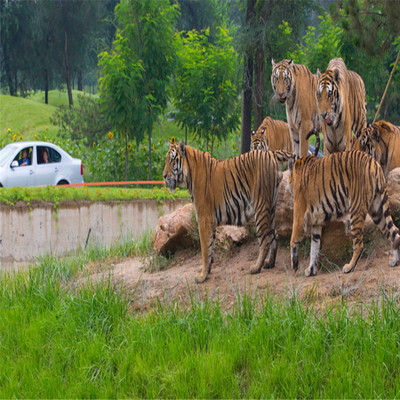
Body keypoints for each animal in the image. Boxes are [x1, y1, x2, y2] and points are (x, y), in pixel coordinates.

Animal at [162, 142, 290, 282]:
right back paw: (269, 263)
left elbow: (205, 249)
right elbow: (210, 247)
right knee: (274, 235)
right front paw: (207, 270)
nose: (164, 176)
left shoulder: (203, 218)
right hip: (271, 207)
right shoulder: (210, 221)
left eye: (172, 160)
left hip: (261, 205)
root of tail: (271, 153)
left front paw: (202, 276)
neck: (189, 175)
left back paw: (256, 267)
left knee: (265, 239)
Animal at [288, 133, 396, 276]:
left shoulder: (299, 215)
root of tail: (374, 162)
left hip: (356, 208)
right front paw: (311, 269)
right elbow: (314, 247)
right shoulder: (317, 221)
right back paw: (395, 261)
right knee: (394, 232)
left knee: (359, 244)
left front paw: (294, 265)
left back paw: (349, 267)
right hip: (377, 209)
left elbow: (293, 239)